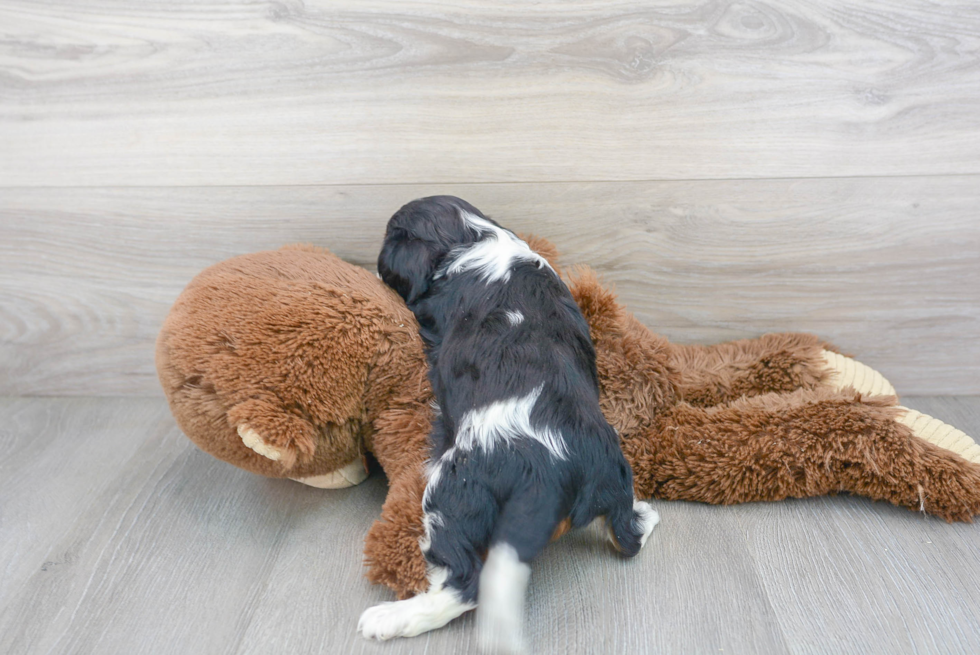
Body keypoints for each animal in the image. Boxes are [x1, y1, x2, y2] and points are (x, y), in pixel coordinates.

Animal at [360, 197, 660, 652]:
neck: (474, 237)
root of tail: (552, 475)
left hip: (452, 494)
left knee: (462, 585)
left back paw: (389, 618)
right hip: (615, 481)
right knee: (628, 535)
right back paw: (645, 515)